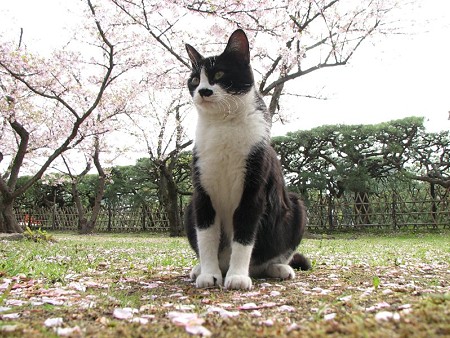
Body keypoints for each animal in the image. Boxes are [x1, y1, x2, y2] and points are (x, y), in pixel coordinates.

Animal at [183, 29, 310, 290]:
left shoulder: (253, 188)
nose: (203, 91)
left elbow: (244, 235)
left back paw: (277, 268)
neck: (223, 125)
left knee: (272, 255)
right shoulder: (202, 191)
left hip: (296, 209)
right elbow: (206, 236)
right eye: (195, 79)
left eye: (219, 74)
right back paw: (202, 269)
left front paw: (237, 277)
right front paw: (209, 274)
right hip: (189, 207)